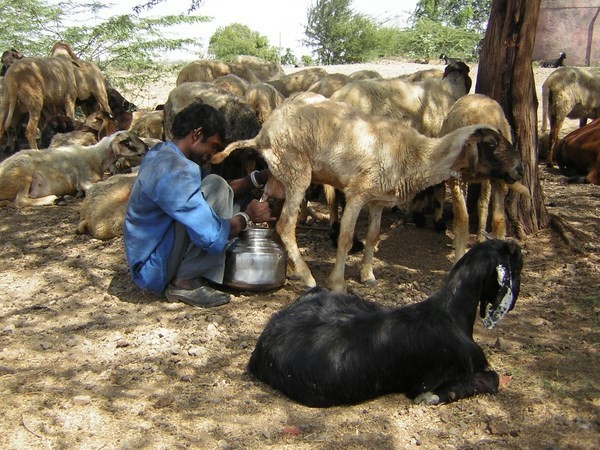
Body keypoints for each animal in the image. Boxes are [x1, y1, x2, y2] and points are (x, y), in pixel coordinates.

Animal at [0, 130, 149, 207]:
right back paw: (55, 199)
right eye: (127, 142)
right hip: (22, 170)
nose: (147, 148)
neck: (95, 156)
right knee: (21, 201)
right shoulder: (83, 180)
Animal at [212, 96, 524, 292]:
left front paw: (368, 275)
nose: (519, 171)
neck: (415, 154)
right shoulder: (357, 193)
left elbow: (373, 236)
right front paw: (338, 282)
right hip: (297, 171)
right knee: (286, 225)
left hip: (278, 175)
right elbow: (346, 237)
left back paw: (288, 268)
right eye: (492, 142)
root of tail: (263, 133)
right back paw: (307, 277)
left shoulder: (377, 201)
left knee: (265, 211)